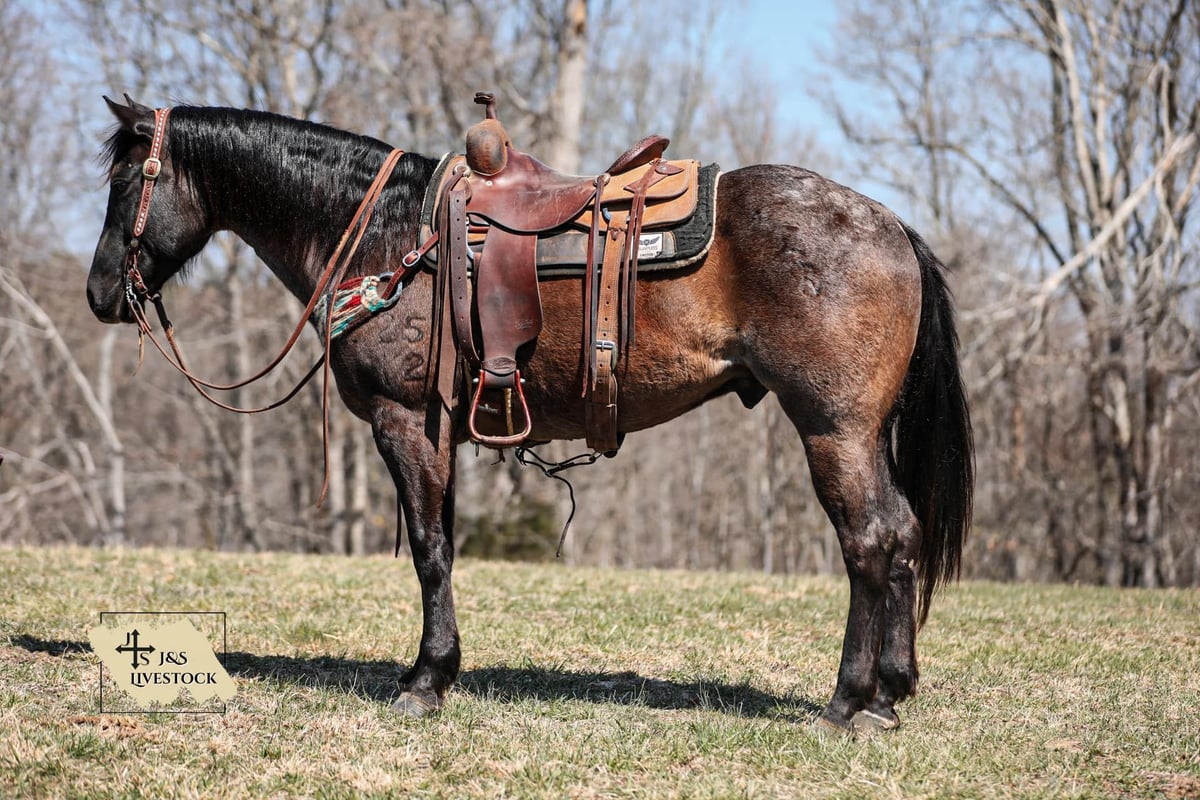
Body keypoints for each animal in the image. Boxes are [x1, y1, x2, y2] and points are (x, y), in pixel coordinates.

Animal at [86, 97, 973, 734]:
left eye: (126, 186)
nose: (99, 294)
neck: (383, 236)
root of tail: (890, 225)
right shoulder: (439, 428)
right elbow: (440, 545)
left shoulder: (404, 422)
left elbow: (431, 551)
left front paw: (426, 680)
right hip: (861, 434)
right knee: (899, 535)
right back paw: (889, 695)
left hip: (832, 430)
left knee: (869, 541)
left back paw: (846, 702)